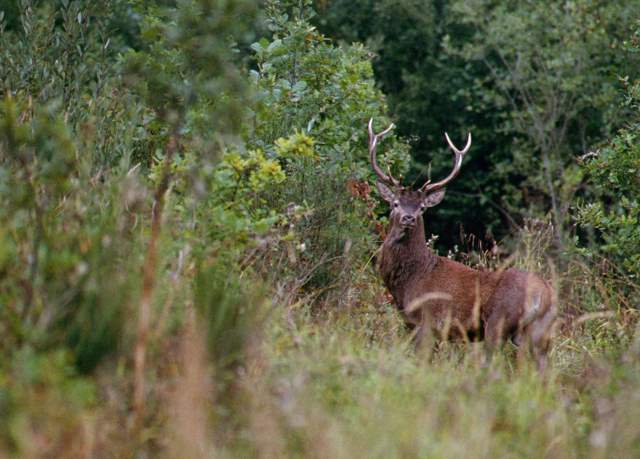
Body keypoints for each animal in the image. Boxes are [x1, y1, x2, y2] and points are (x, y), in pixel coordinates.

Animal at [368, 118, 556, 368]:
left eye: (422, 208)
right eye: (396, 203)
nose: (409, 218)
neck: (409, 281)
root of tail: (543, 294)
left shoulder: (426, 321)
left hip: (498, 322)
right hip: (540, 332)